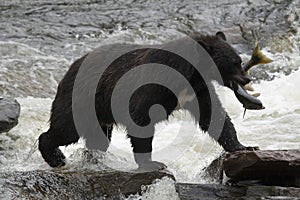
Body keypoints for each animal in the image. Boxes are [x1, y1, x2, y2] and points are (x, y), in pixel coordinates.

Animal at [37, 32, 258, 170]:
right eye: (235, 62)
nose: (246, 79)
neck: (189, 74)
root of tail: (70, 69)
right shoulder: (154, 85)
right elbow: (140, 118)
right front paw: (152, 163)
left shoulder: (197, 91)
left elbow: (214, 115)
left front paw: (244, 146)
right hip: (81, 100)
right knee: (67, 128)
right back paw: (56, 157)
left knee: (98, 138)